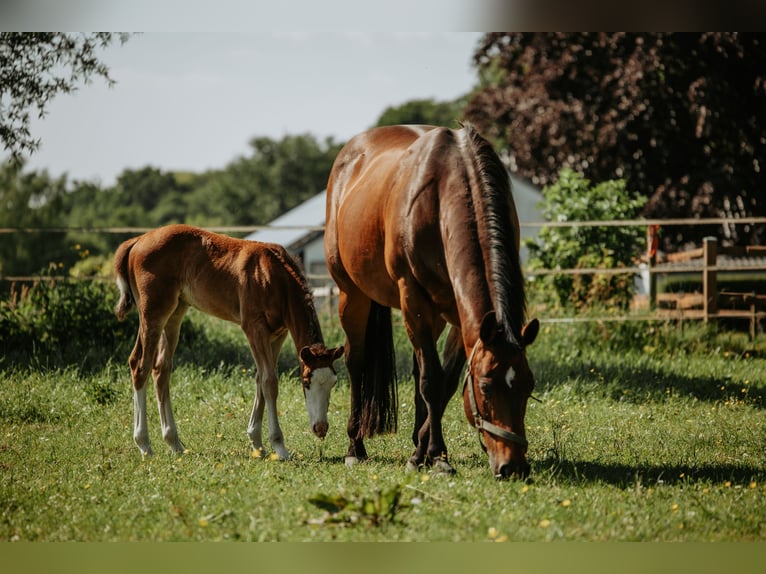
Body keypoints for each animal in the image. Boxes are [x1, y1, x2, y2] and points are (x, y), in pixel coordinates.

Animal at [113, 224, 344, 460]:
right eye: (306, 382)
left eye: (333, 383)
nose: (321, 428)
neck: (274, 278)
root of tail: (138, 241)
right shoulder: (253, 328)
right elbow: (269, 382)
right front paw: (279, 446)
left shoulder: (278, 334)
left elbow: (261, 378)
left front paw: (257, 442)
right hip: (153, 314)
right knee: (140, 365)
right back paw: (144, 444)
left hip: (176, 312)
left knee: (161, 369)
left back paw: (174, 443)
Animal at [324, 124, 539, 479]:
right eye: (485, 387)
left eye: (528, 385)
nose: (513, 467)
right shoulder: (414, 301)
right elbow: (431, 381)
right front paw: (434, 455)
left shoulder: (462, 318)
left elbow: (444, 382)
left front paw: (426, 451)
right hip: (351, 295)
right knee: (356, 361)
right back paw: (356, 445)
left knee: (417, 368)